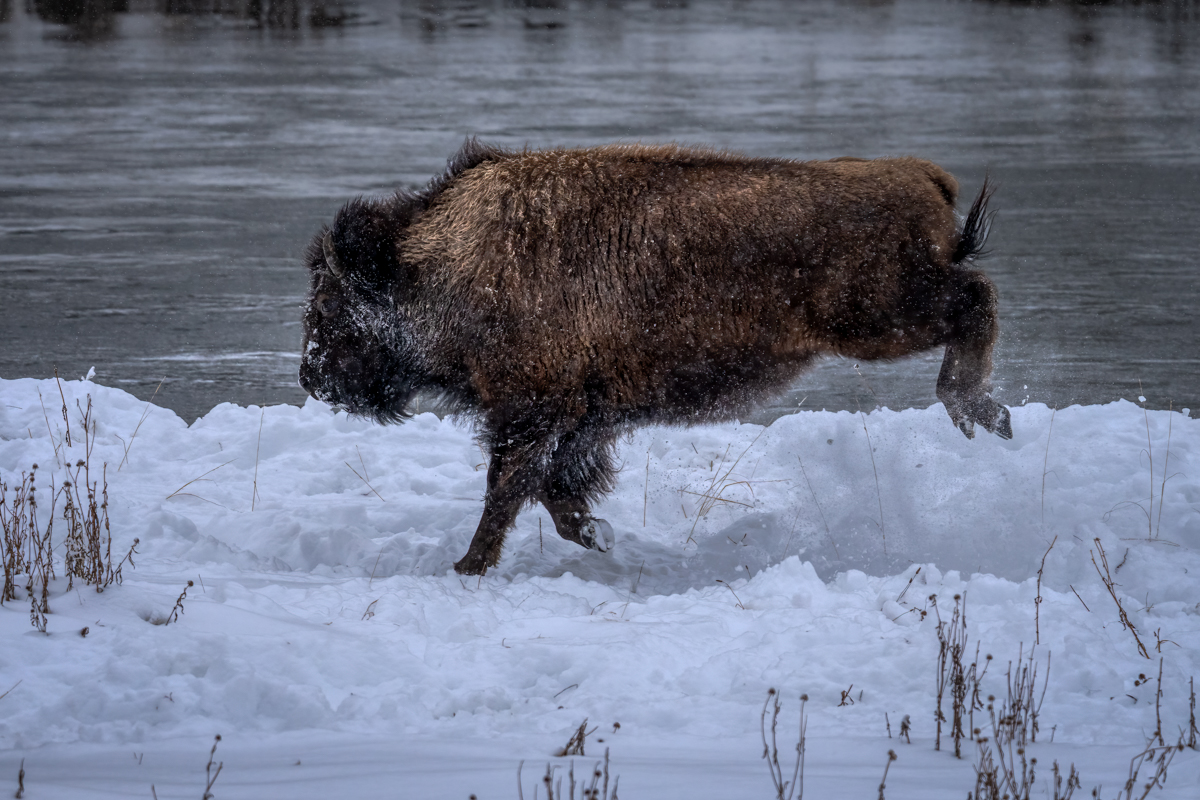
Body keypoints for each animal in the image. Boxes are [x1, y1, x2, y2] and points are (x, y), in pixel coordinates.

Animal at [299, 140, 1011, 575]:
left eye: (331, 302)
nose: (310, 375)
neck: (440, 262)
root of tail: (921, 175)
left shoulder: (530, 410)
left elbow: (507, 489)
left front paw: (468, 566)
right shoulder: (580, 417)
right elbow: (556, 490)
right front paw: (600, 535)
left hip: (878, 320)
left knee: (976, 300)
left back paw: (979, 411)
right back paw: (988, 417)